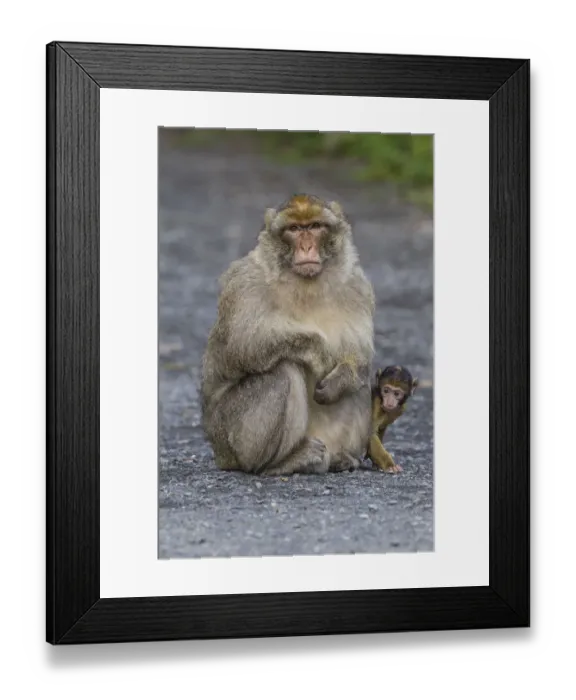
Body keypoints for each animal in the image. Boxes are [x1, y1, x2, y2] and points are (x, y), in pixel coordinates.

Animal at [201, 193, 375, 476]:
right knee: (282, 371)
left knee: (360, 383)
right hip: (232, 439)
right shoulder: (244, 283)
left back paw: (342, 459)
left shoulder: (358, 286)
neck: (306, 285)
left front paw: (341, 378)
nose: (306, 246)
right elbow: (241, 346)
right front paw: (318, 351)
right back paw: (281, 463)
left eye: (314, 226)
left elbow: (358, 358)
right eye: (293, 229)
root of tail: (221, 456)